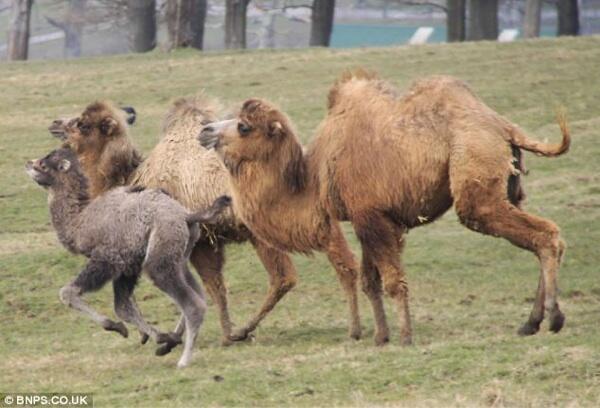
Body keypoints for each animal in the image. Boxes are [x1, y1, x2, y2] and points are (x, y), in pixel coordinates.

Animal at [50, 96, 360, 348]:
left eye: (83, 124)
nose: (55, 123)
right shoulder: (201, 241)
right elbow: (209, 287)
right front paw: (178, 336)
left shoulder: (198, 241)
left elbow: (210, 286)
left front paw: (217, 335)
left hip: (264, 234)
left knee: (284, 277)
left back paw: (245, 330)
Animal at [199, 71, 568, 346]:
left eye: (244, 126)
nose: (205, 130)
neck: (314, 178)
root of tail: (503, 126)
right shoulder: (366, 218)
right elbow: (370, 281)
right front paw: (380, 335)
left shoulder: (373, 218)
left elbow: (391, 280)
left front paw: (404, 336)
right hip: (510, 187)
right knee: (543, 235)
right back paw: (531, 322)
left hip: (476, 190)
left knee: (545, 234)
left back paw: (552, 316)